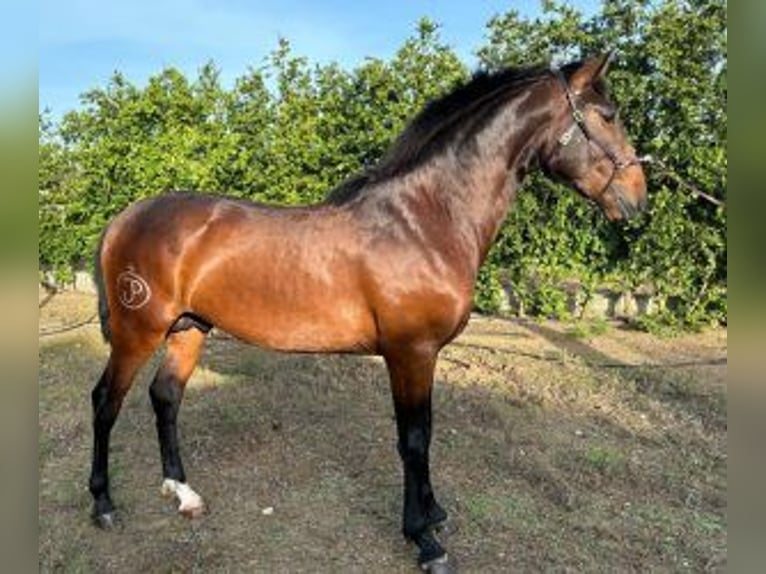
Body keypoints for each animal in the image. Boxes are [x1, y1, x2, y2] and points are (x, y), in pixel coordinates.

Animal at [88, 53, 648, 572]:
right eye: (608, 115)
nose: (638, 200)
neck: (425, 219)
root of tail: (124, 218)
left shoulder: (420, 355)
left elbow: (423, 433)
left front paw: (433, 514)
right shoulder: (410, 352)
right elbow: (414, 439)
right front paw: (425, 540)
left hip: (188, 329)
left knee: (165, 397)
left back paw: (183, 493)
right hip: (139, 331)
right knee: (105, 402)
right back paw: (103, 504)